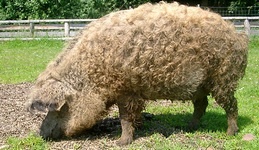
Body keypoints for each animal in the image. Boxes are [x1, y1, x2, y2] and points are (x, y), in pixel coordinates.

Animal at [26, 1, 250, 146]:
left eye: (59, 109)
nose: (41, 134)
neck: (91, 75)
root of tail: (239, 36)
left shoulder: (126, 90)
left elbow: (125, 117)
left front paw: (121, 142)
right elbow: (133, 116)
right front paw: (139, 127)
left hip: (223, 78)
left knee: (232, 105)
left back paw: (230, 133)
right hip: (200, 86)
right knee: (202, 104)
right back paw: (188, 127)